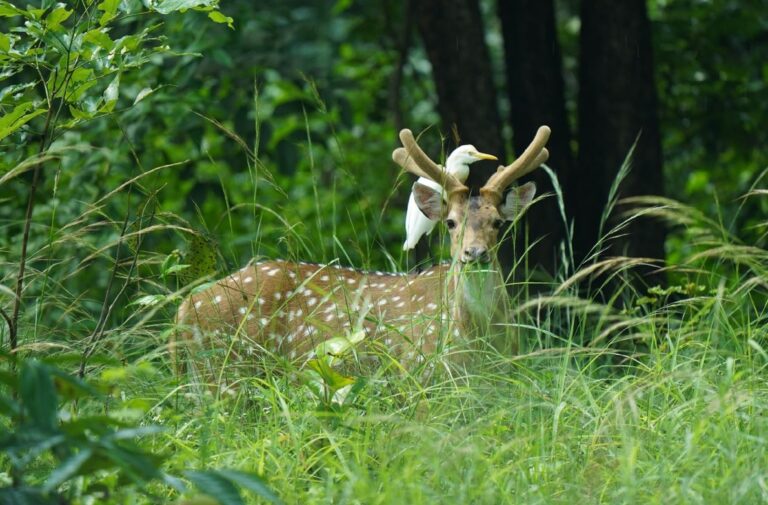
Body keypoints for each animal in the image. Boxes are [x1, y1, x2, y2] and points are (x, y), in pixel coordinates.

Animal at [174, 125, 548, 378]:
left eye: (498, 222)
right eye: (451, 223)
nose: (474, 253)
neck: (479, 337)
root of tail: (183, 309)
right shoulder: (418, 374)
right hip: (226, 373)